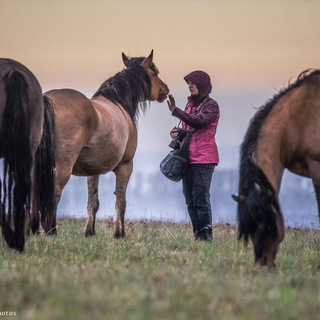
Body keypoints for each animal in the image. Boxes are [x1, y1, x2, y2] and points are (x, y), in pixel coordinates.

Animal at [31, 50, 169, 239]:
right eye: (155, 72)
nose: (166, 90)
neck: (119, 102)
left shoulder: (93, 171)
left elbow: (93, 201)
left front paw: (90, 232)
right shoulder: (126, 165)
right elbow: (121, 200)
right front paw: (119, 233)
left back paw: (32, 230)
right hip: (63, 166)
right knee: (54, 193)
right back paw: (51, 231)